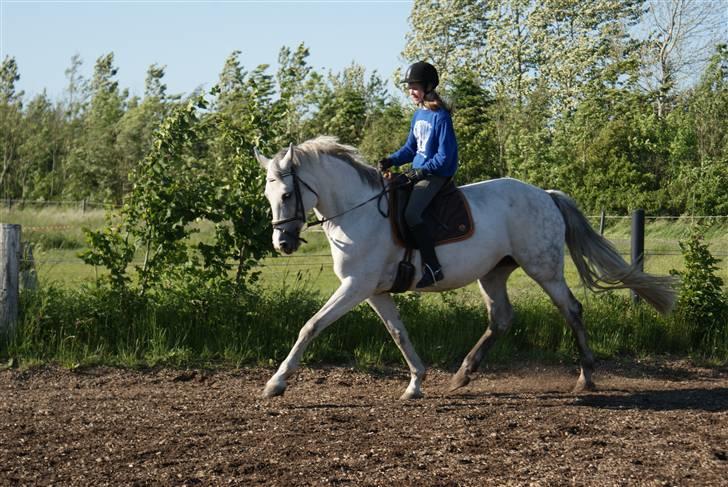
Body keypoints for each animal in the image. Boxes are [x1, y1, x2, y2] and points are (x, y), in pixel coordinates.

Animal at [258, 136, 676, 400]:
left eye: (287, 194)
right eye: (267, 194)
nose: (283, 244)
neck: (358, 212)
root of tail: (545, 195)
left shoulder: (355, 287)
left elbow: (310, 326)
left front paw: (276, 383)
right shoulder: (373, 291)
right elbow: (399, 334)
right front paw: (416, 383)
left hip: (544, 269)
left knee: (571, 310)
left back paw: (586, 377)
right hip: (493, 273)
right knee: (502, 318)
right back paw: (463, 373)